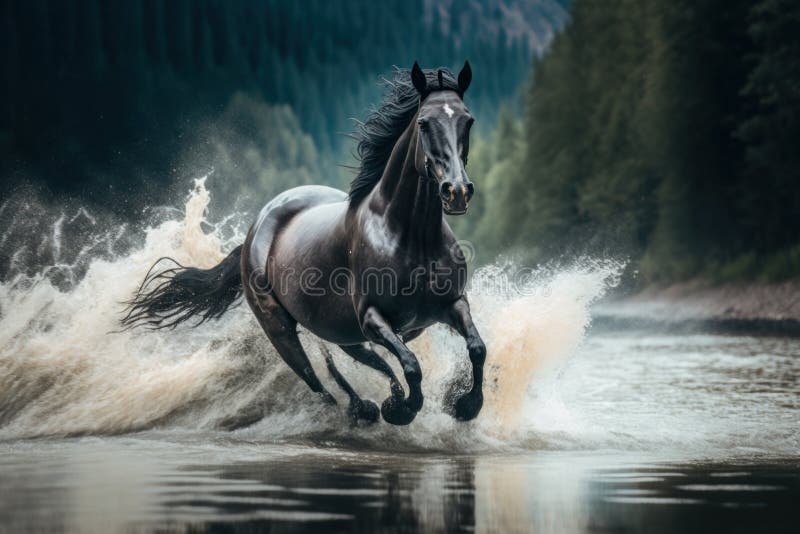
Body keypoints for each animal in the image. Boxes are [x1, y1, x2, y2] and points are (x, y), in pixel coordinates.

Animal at [122, 62, 486, 427]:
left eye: (468, 120)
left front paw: (465, 404)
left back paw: (377, 404)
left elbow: (476, 348)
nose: (456, 191)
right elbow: (411, 365)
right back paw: (364, 409)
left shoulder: (450, 304)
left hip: (339, 330)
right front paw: (403, 410)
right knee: (319, 382)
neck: (409, 235)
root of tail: (255, 230)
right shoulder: (373, 318)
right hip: (281, 330)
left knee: (357, 363)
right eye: (424, 122)